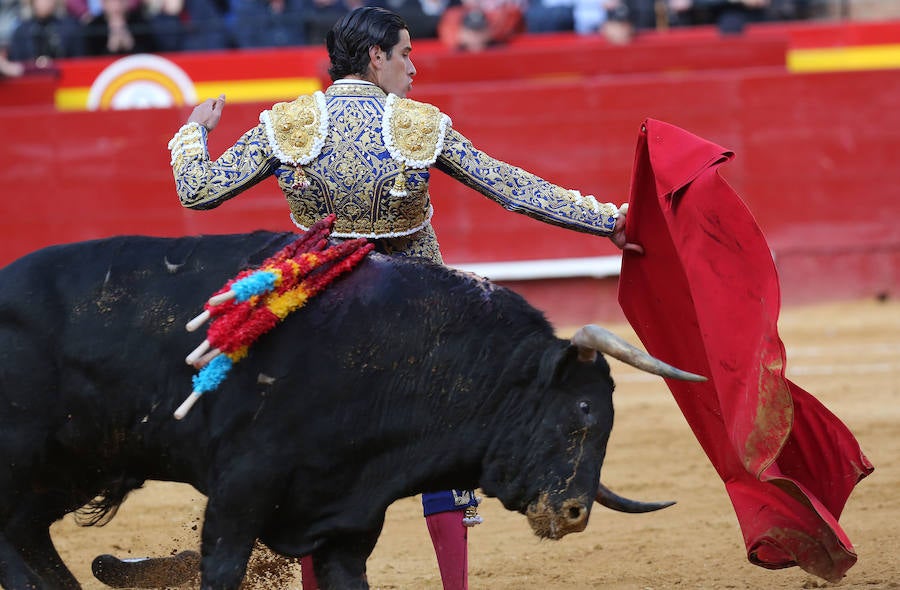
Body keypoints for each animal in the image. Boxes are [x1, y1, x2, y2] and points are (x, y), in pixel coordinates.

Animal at [0, 232, 704, 590]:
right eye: (582, 409)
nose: (575, 512)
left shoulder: (347, 520)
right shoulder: (239, 494)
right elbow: (222, 568)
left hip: (71, 467)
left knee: (26, 535)